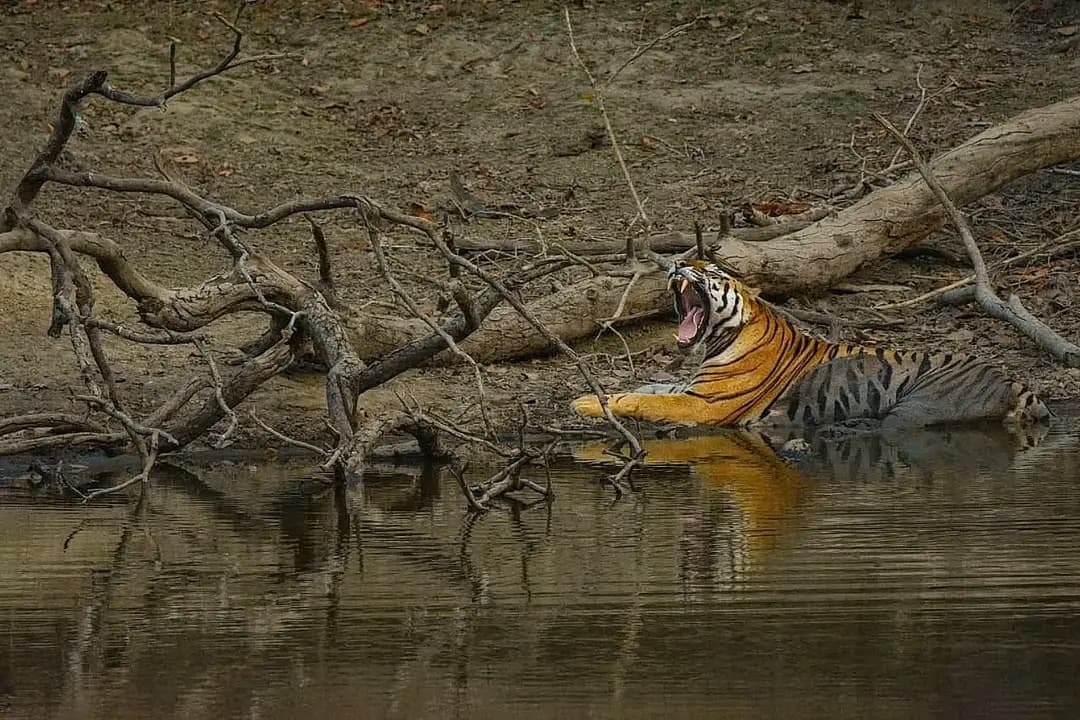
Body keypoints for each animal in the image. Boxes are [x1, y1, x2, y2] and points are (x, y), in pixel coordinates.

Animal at [571, 259, 1051, 428]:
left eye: (706, 269)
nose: (674, 264)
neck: (718, 340)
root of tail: (1010, 376)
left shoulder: (704, 405)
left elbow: (645, 399)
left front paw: (589, 403)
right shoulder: (692, 387)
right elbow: (649, 387)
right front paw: (591, 396)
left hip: (918, 406)